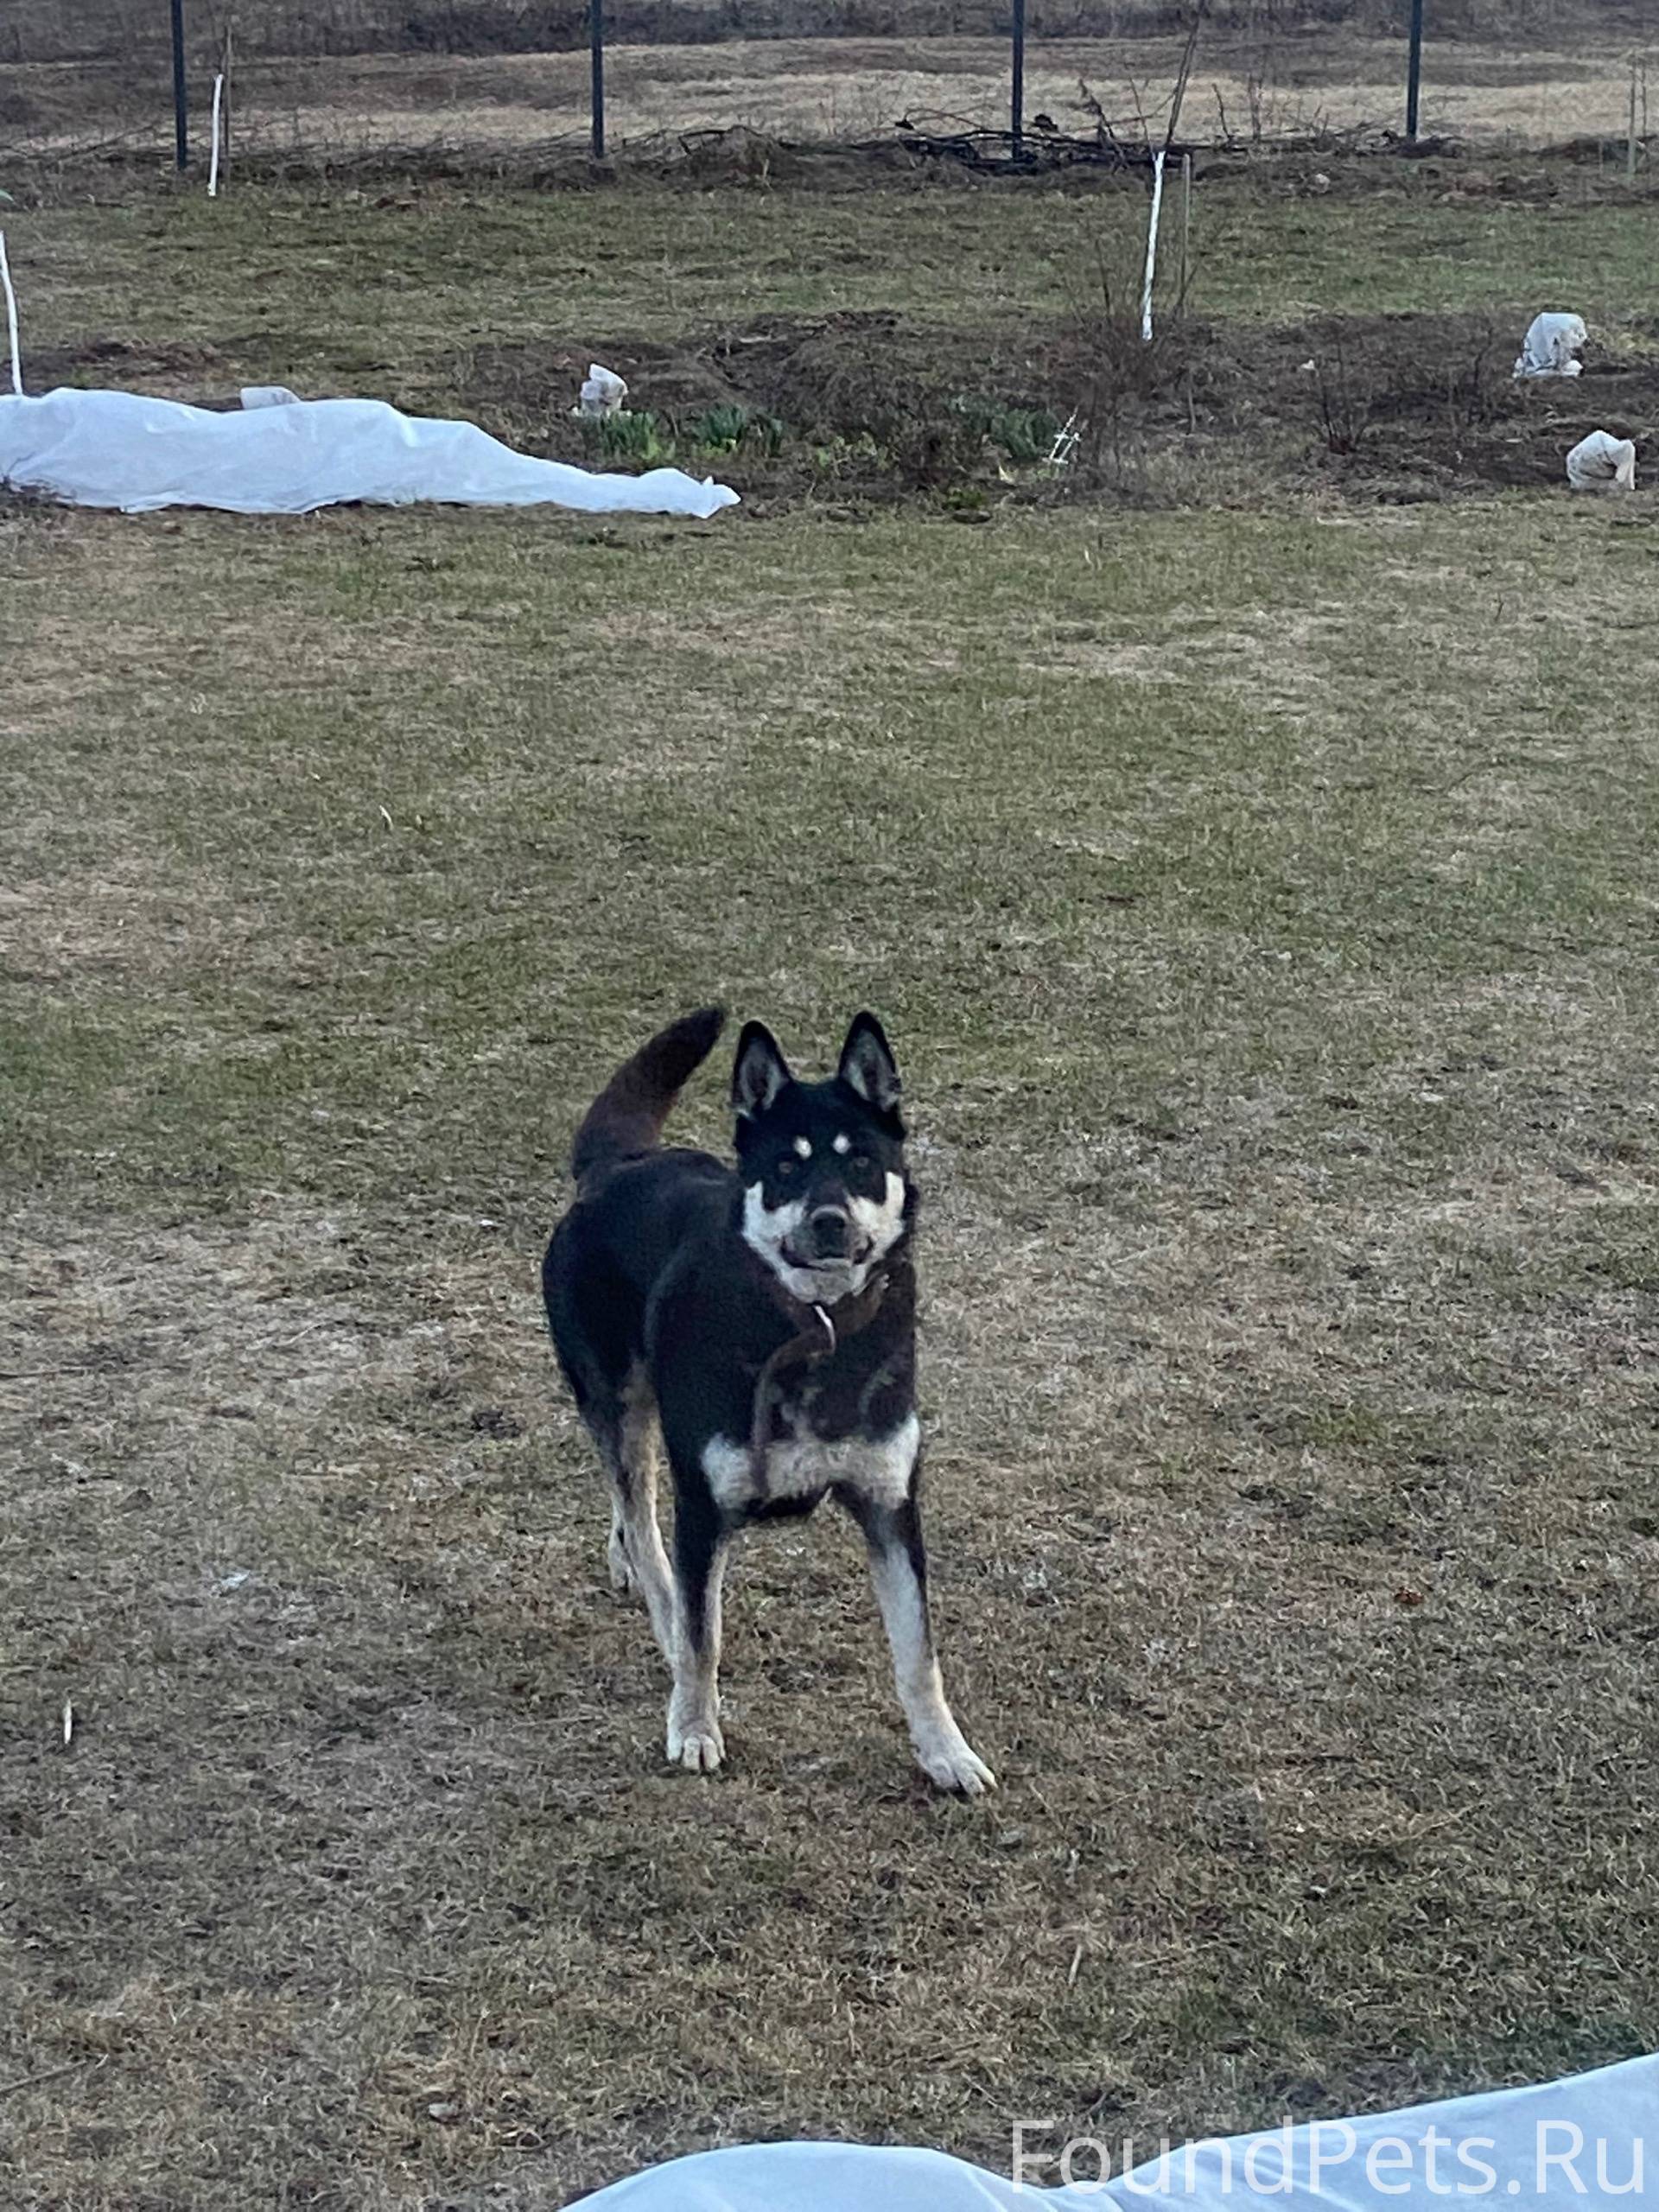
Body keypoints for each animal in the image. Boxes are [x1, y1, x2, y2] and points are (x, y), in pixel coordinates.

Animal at [539, 1008, 995, 1796]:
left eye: (860, 1163)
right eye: (786, 1168)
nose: (829, 1221)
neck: (815, 1328)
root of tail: (617, 1167)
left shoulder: (890, 1504)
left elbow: (918, 1653)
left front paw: (946, 1752)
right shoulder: (702, 1505)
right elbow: (703, 1634)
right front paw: (694, 1728)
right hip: (616, 1399)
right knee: (640, 1512)